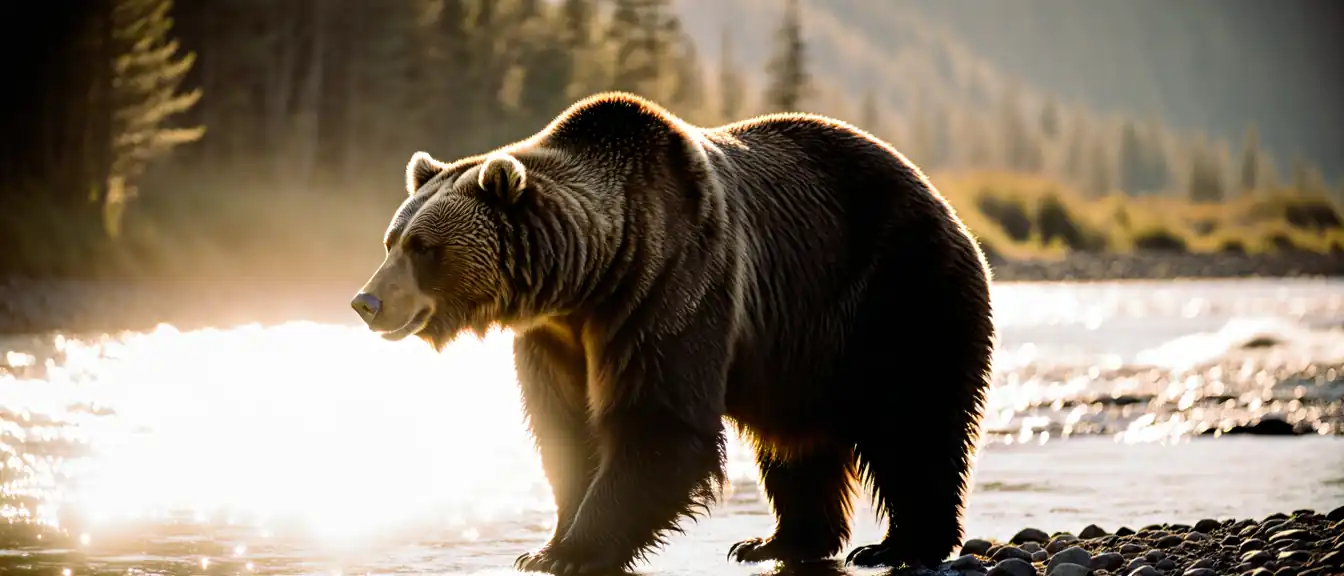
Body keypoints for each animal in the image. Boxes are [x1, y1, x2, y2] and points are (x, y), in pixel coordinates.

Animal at [350, 92, 996, 575]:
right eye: (391, 240)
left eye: (423, 247)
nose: (366, 302)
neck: (588, 279)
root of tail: (940, 197)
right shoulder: (555, 339)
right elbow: (565, 427)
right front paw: (546, 544)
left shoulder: (668, 288)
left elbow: (656, 420)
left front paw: (573, 551)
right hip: (801, 350)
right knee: (794, 442)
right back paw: (776, 541)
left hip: (896, 292)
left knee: (914, 419)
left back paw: (897, 544)